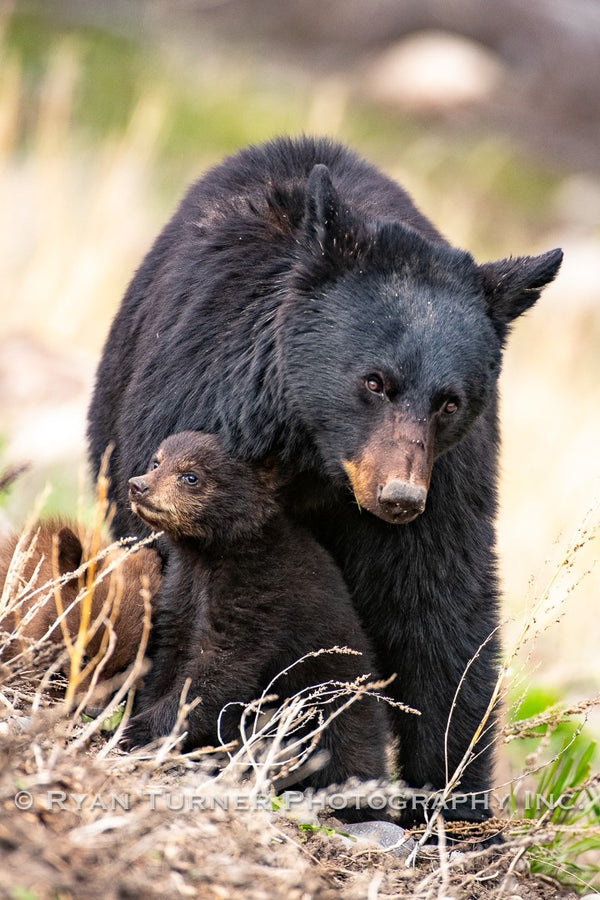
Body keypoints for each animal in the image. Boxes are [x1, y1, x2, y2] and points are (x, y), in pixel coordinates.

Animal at [125, 430, 392, 800]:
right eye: (156, 462)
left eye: (191, 476)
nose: (138, 485)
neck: (211, 553)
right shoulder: (182, 589)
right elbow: (171, 654)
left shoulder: (259, 590)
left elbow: (222, 669)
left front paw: (140, 730)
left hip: (339, 702)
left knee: (352, 751)